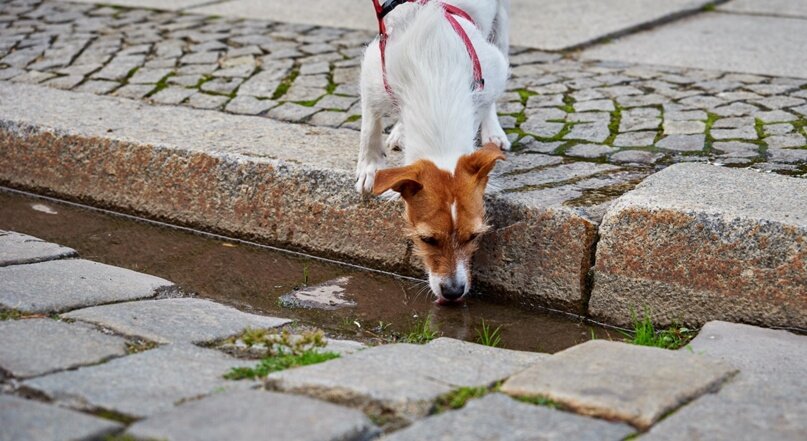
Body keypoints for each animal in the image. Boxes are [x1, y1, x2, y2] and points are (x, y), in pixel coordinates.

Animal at [356, 0, 508, 302]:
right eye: (427, 239)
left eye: (474, 237)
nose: (453, 292)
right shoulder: (372, 73)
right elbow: (370, 125)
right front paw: (369, 167)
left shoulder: (493, 70)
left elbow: (484, 104)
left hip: (500, 28)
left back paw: (492, 132)